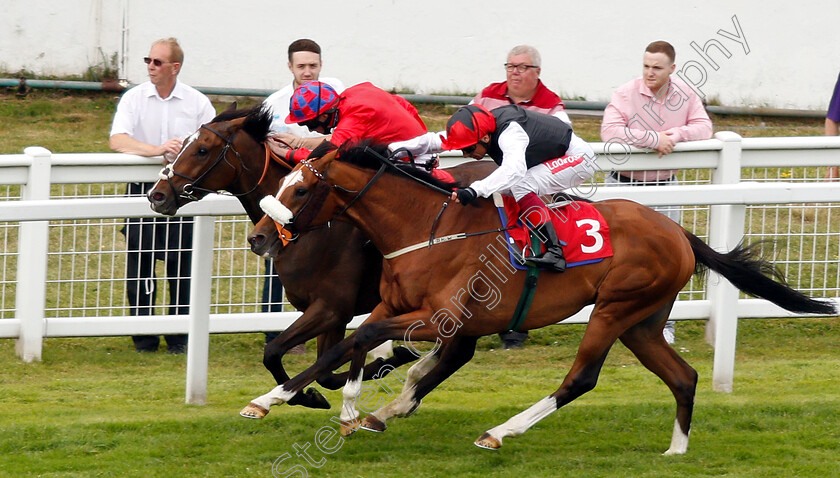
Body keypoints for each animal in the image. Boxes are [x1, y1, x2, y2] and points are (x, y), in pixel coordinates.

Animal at [147, 106, 496, 408]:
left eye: (202, 150)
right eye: (185, 144)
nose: (156, 195)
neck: (313, 232)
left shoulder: (331, 307)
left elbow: (275, 351)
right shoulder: (329, 314)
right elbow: (322, 370)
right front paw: (316, 392)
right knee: (460, 351)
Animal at [243, 141, 832, 452]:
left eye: (301, 188)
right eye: (284, 181)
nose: (260, 238)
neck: (425, 227)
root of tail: (679, 233)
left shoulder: (437, 315)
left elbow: (361, 337)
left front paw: (294, 400)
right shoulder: (394, 306)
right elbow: (354, 343)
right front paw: (298, 399)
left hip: (615, 309)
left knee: (582, 378)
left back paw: (500, 432)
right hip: (642, 320)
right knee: (682, 376)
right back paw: (676, 449)